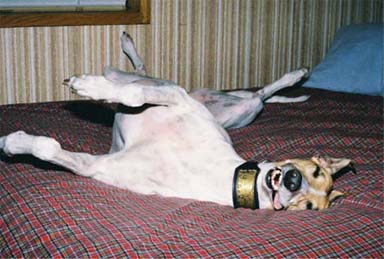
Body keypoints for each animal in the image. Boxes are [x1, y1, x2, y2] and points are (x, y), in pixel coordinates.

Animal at [0, 32, 352, 211]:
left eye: (309, 206)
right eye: (313, 170)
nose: (292, 180)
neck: (221, 171)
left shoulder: (97, 167)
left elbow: (48, 148)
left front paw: (12, 142)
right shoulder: (174, 98)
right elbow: (135, 98)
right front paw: (88, 87)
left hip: (241, 111)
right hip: (190, 92)